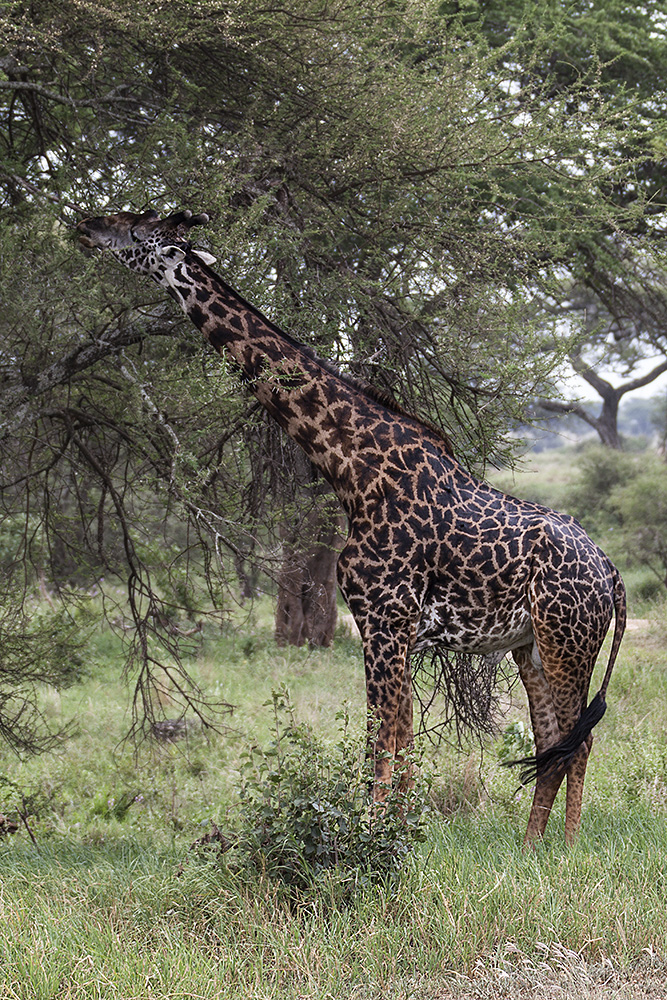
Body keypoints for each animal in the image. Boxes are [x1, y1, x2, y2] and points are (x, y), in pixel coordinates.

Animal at [77, 211, 628, 844]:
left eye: (136, 228)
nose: (86, 225)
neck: (354, 470)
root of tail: (613, 576)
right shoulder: (394, 631)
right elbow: (402, 748)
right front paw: (399, 838)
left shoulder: (383, 621)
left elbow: (379, 748)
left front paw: (372, 844)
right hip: (529, 646)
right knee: (551, 741)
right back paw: (531, 847)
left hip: (568, 642)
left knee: (578, 741)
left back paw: (565, 849)